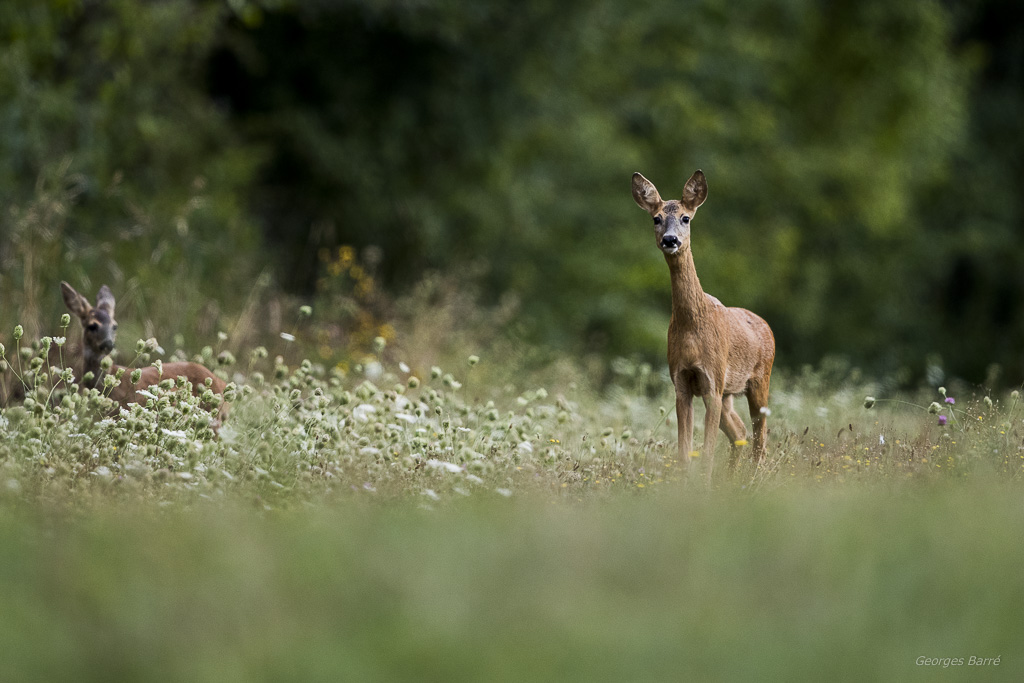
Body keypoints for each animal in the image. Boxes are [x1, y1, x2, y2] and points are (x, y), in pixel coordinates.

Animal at [630, 169, 774, 481]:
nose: (670, 240)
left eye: (686, 218)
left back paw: (752, 481)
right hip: (729, 393)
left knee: (760, 436)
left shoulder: (711, 381)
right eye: (656, 218)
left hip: (759, 380)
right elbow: (684, 454)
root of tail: (766, 325)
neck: (692, 330)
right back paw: (731, 480)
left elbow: (706, 454)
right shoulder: (682, 381)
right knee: (740, 432)